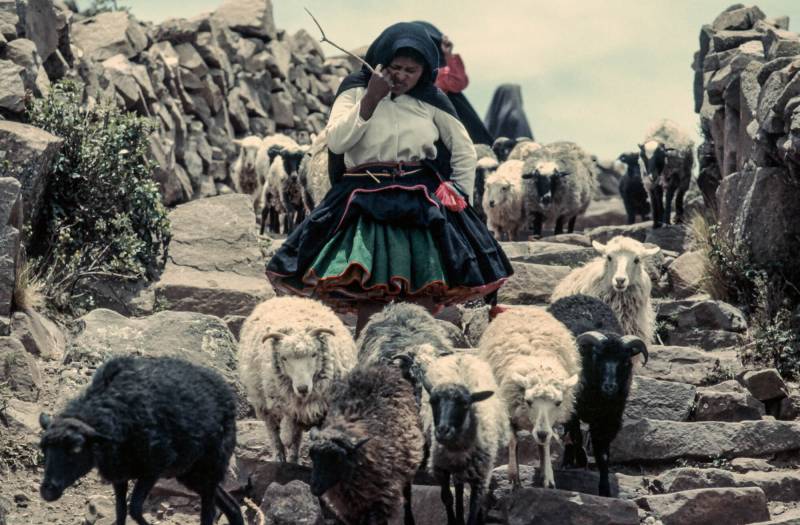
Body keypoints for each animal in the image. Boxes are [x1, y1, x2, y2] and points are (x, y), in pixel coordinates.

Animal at [38, 354, 244, 524]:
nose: (48, 490)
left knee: (209, 511)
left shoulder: (155, 466)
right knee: (232, 505)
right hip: (191, 471)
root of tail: (225, 390)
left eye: (76, 449)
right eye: (44, 449)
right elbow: (121, 511)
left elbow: (135, 509)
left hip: (212, 462)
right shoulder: (119, 474)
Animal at [238, 294, 356, 462]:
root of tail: (287, 297)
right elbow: (286, 433)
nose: (302, 388)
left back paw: (294, 458)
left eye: (314, 354)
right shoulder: (284, 404)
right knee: (274, 433)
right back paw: (280, 457)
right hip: (262, 402)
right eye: (284, 358)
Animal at [310, 362, 428, 524]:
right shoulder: (349, 510)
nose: (314, 488)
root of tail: (383, 367)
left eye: (337, 458)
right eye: (312, 457)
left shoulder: (381, 501)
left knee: (408, 494)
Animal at [418, 352, 506, 524]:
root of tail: (459, 354)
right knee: (458, 491)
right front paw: (453, 521)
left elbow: (474, 507)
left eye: (465, 404)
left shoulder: (481, 476)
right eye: (432, 402)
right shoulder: (441, 468)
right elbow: (447, 498)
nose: (442, 431)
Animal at [476, 310, 580, 490]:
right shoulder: (508, 410)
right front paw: (513, 474)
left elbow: (545, 444)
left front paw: (548, 476)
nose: (542, 433)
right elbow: (512, 441)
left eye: (558, 403)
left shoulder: (548, 424)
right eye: (529, 402)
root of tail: (522, 308)